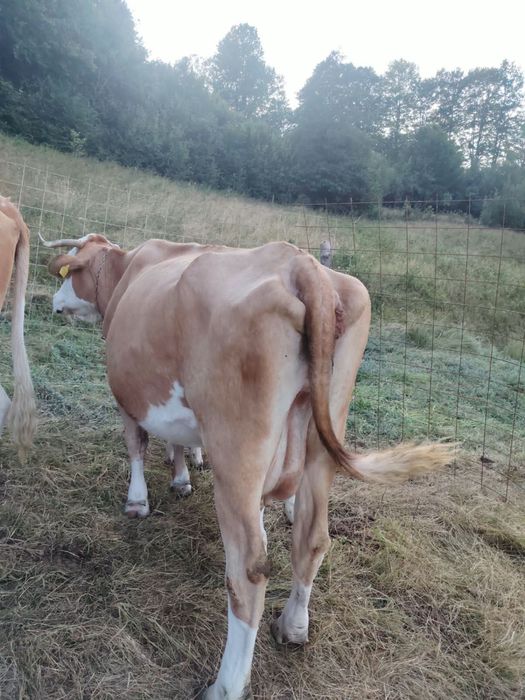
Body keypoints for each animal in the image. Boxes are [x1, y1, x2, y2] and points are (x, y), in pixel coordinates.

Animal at [41, 232, 451, 700]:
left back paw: (227, 684)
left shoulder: (128, 396)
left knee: (249, 572)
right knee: (312, 538)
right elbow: (178, 442)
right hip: (321, 435)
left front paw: (139, 500)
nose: (54, 302)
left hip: (238, 450)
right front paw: (182, 475)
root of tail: (301, 264)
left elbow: (137, 444)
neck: (128, 273)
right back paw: (292, 626)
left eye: (71, 270)